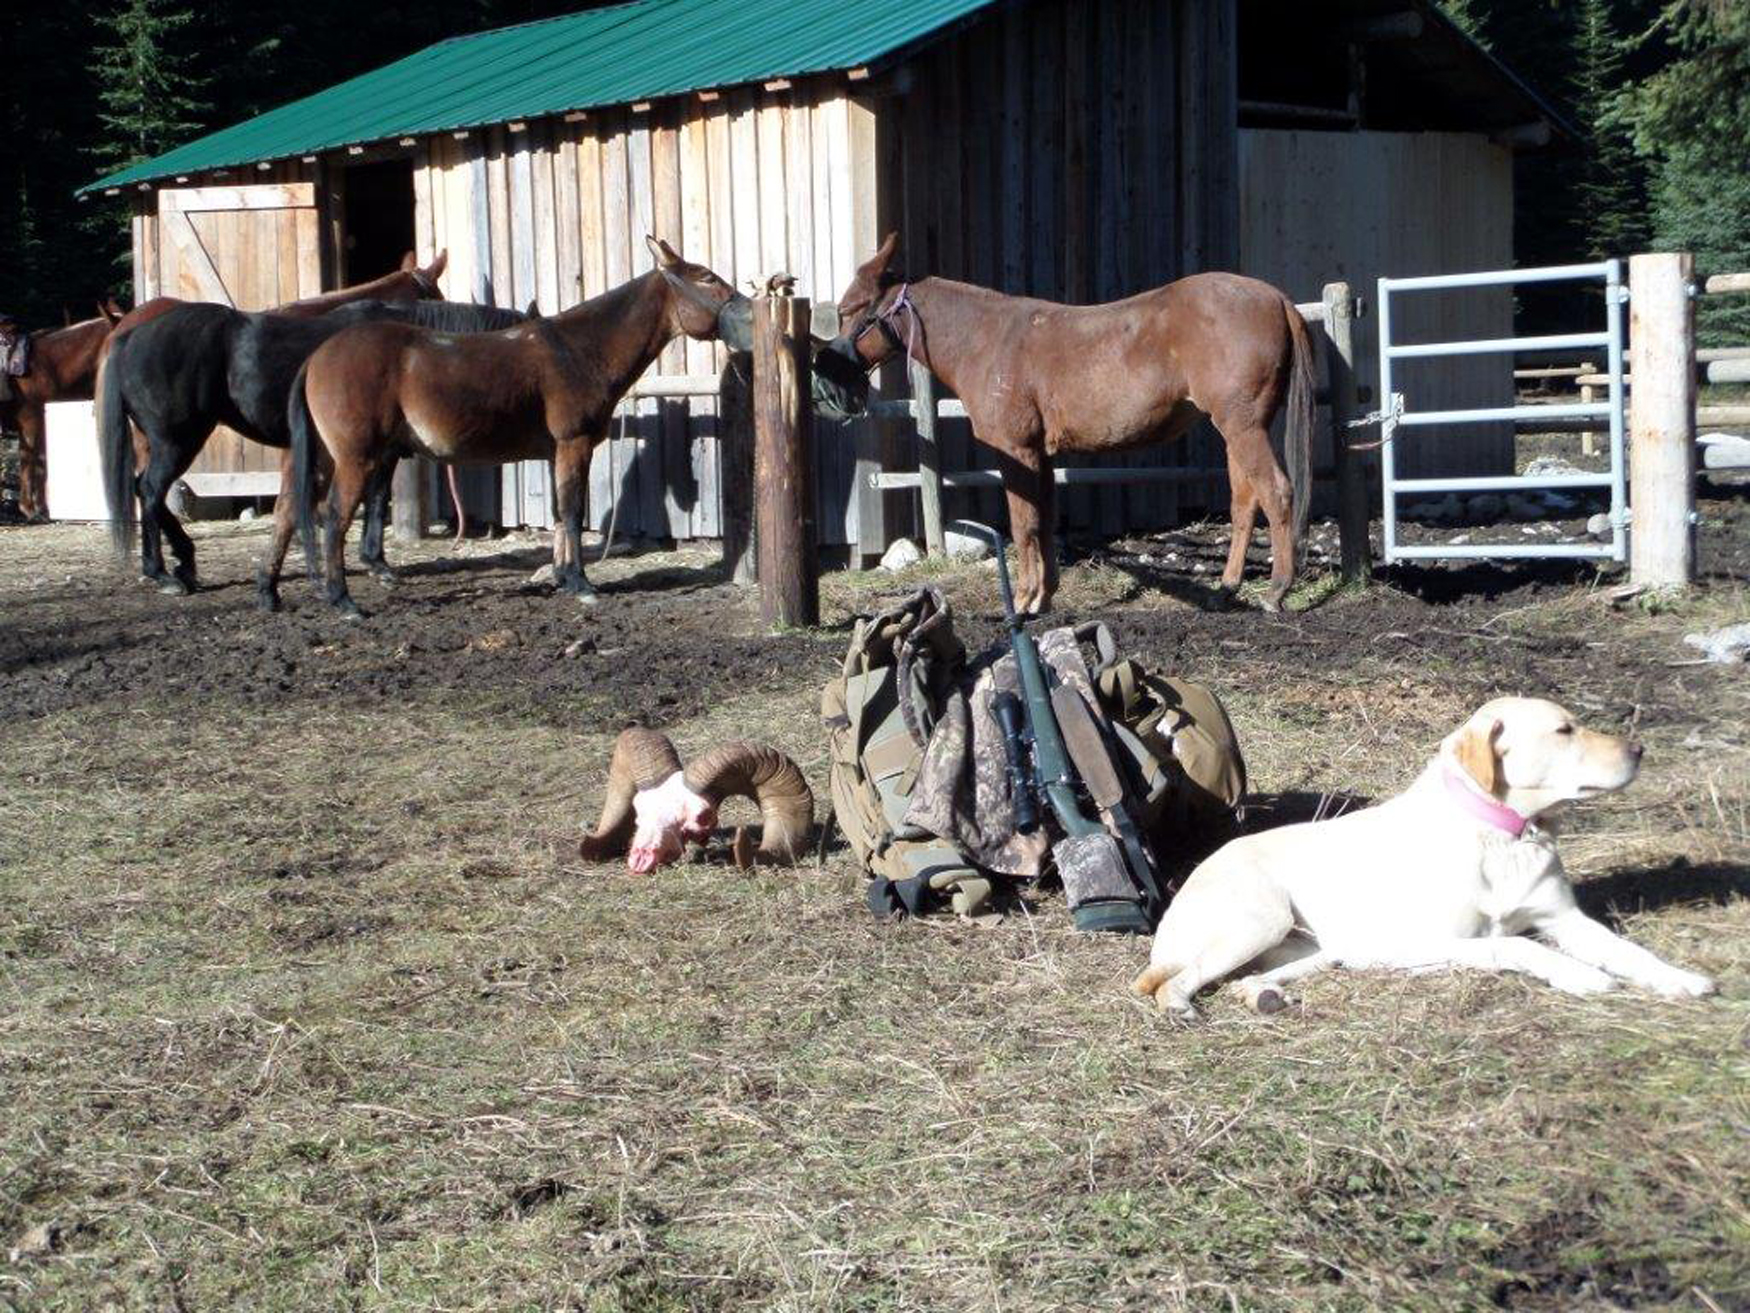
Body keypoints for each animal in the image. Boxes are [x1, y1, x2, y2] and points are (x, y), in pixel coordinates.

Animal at [0, 302, 125, 519]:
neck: (49, 366)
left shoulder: (43, 420)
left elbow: (42, 460)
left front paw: (42, 508)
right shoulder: (29, 418)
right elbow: (28, 457)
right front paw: (28, 508)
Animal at [98, 293, 522, 609]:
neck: (408, 354)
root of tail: (128, 337)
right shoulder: (376, 453)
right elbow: (375, 498)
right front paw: (376, 563)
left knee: (146, 492)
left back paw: (183, 563)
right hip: (176, 441)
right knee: (150, 490)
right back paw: (162, 573)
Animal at [290, 236, 752, 619]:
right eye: (707, 278)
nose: (748, 311)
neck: (578, 351)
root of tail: (317, 356)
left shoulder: (555, 452)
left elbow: (559, 513)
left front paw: (563, 578)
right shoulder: (573, 444)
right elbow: (572, 511)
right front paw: (581, 584)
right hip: (355, 459)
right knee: (334, 517)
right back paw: (343, 602)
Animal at [812, 234, 1315, 614]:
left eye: (851, 308)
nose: (826, 379)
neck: (986, 340)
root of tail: (1276, 298)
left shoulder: (1015, 451)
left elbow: (1024, 526)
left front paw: (1023, 600)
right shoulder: (1041, 455)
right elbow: (1046, 520)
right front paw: (1044, 597)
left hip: (1243, 427)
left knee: (1276, 492)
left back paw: (1276, 590)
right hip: (1236, 430)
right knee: (1245, 502)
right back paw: (1227, 589)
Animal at [1132, 697, 1717, 1016]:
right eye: (1564, 729)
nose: (1640, 749)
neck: (1503, 835)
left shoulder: (1565, 919)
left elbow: (1628, 952)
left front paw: (1679, 978)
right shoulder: (1429, 939)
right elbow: (1517, 946)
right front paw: (1580, 976)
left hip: (1314, 950)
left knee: (1251, 978)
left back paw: (1264, 994)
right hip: (1260, 921)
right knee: (1171, 982)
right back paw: (1181, 1004)